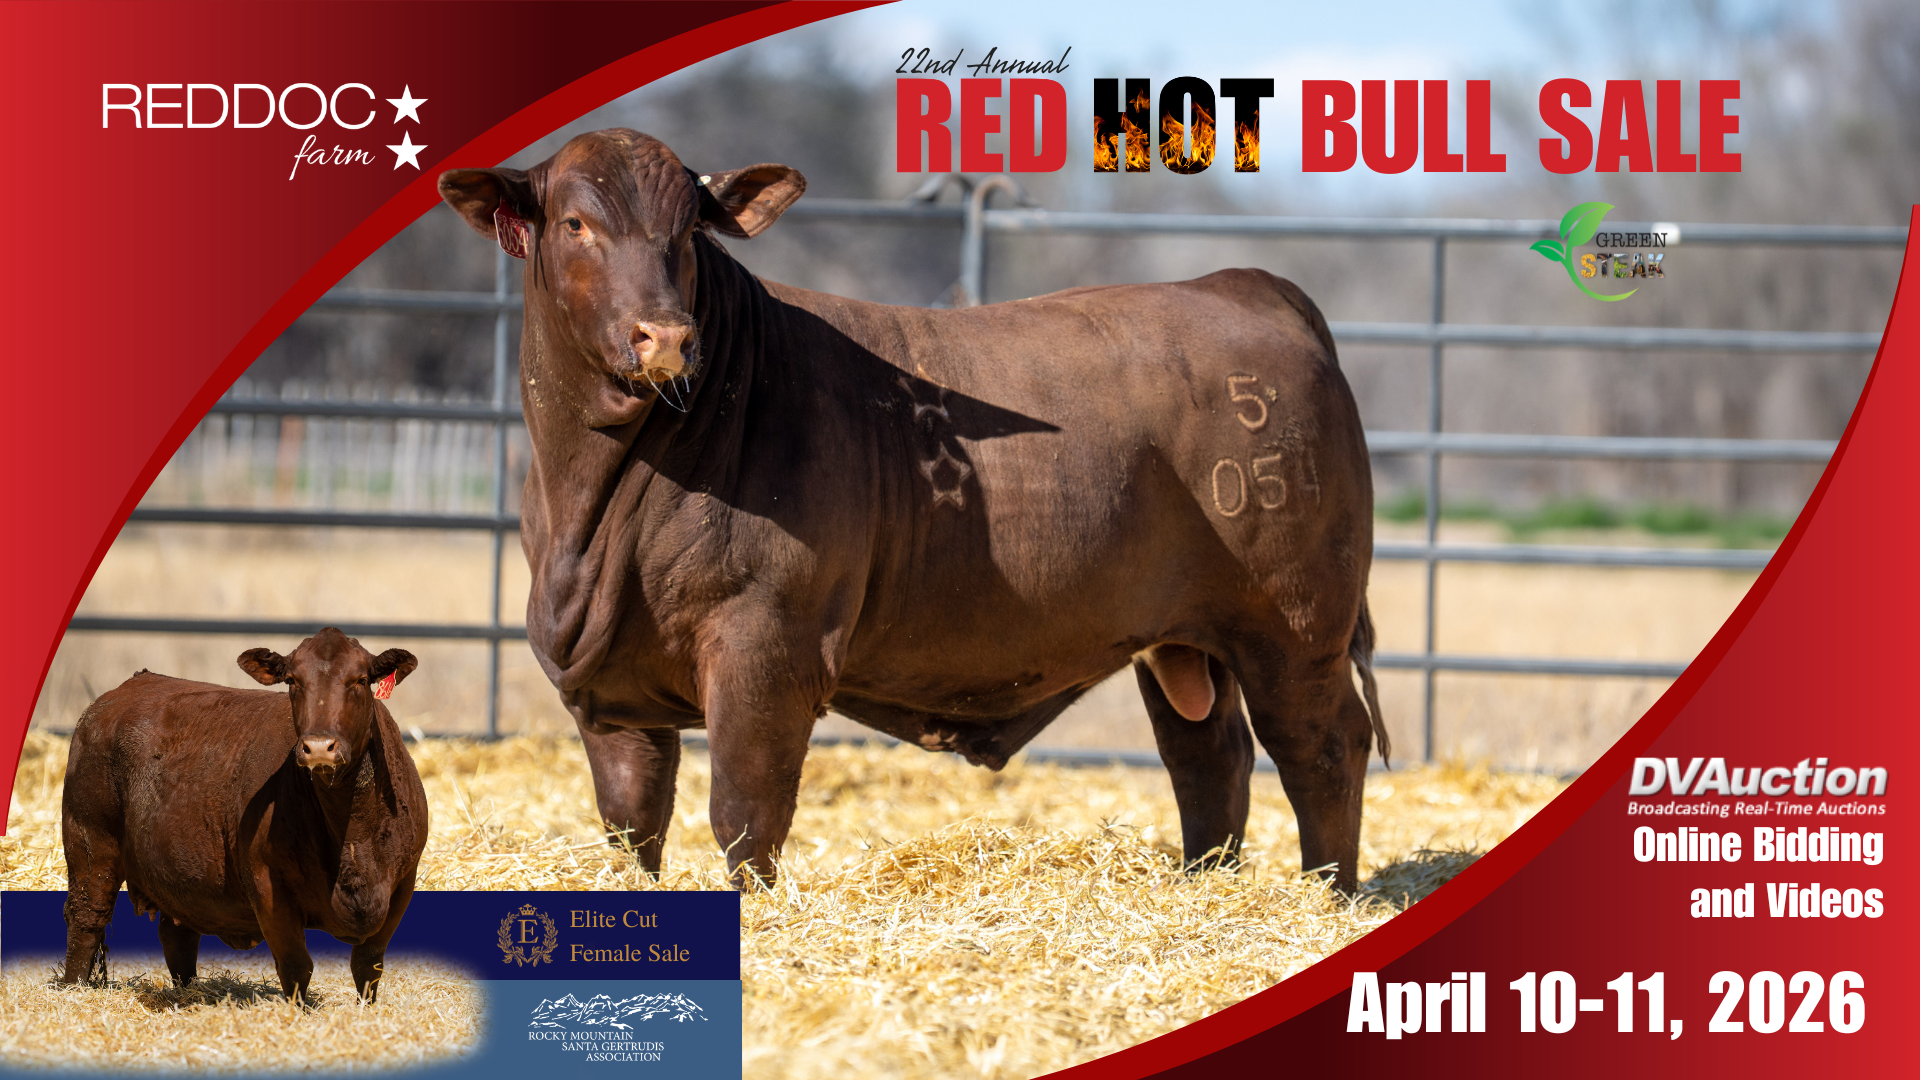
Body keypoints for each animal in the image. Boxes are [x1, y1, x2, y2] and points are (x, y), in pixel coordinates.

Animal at [60, 629, 428, 1003]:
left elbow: (368, 965)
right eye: (292, 680)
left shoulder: (403, 882)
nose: (318, 747)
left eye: (361, 679)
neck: (353, 835)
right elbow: (297, 965)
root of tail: (132, 684)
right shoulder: (266, 883)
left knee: (177, 936)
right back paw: (71, 988)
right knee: (87, 916)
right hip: (89, 838)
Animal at [437, 129, 1384, 892]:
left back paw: (1326, 895)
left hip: (1295, 622)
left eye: (689, 231)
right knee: (1207, 753)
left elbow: (745, 812)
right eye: (575, 224)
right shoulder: (609, 688)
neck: (591, 502)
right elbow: (631, 824)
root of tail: (1242, 285)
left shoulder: (766, 646)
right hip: (1183, 638)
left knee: (1321, 742)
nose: (665, 335)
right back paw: (1201, 884)